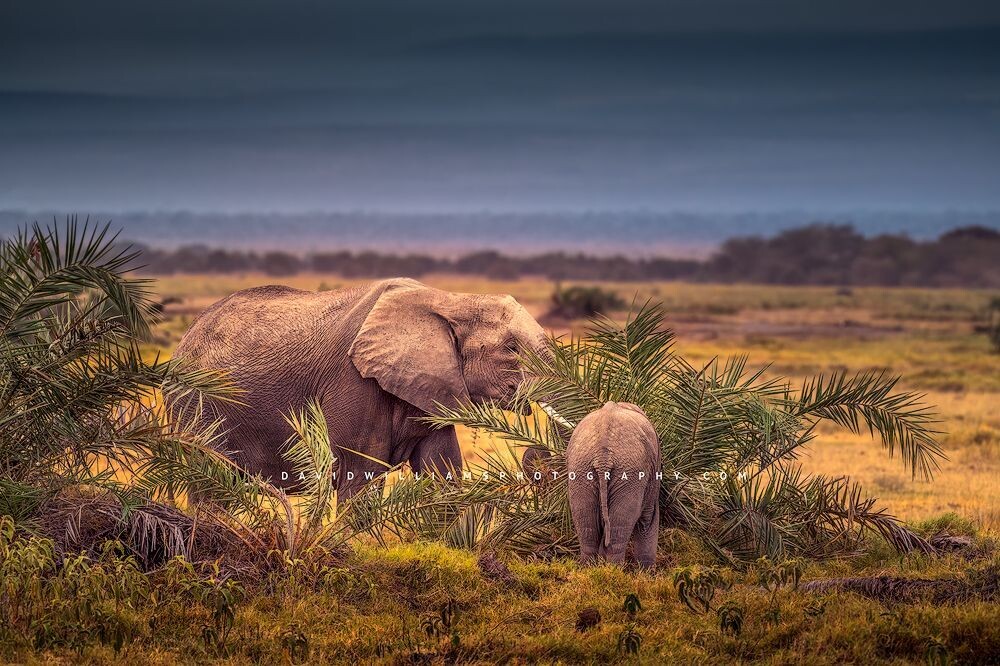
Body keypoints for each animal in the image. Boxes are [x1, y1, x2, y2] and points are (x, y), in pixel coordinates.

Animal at [172, 278, 548, 496]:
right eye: (512, 348)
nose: (534, 459)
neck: (451, 300)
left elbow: (442, 472)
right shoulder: (354, 383)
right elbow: (359, 478)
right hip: (197, 407)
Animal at [568, 400, 660, 564]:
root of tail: (602, 456)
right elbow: (649, 519)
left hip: (580, 468)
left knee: (588, 531)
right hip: (629, 472)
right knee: (618, 532)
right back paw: (614, 569)